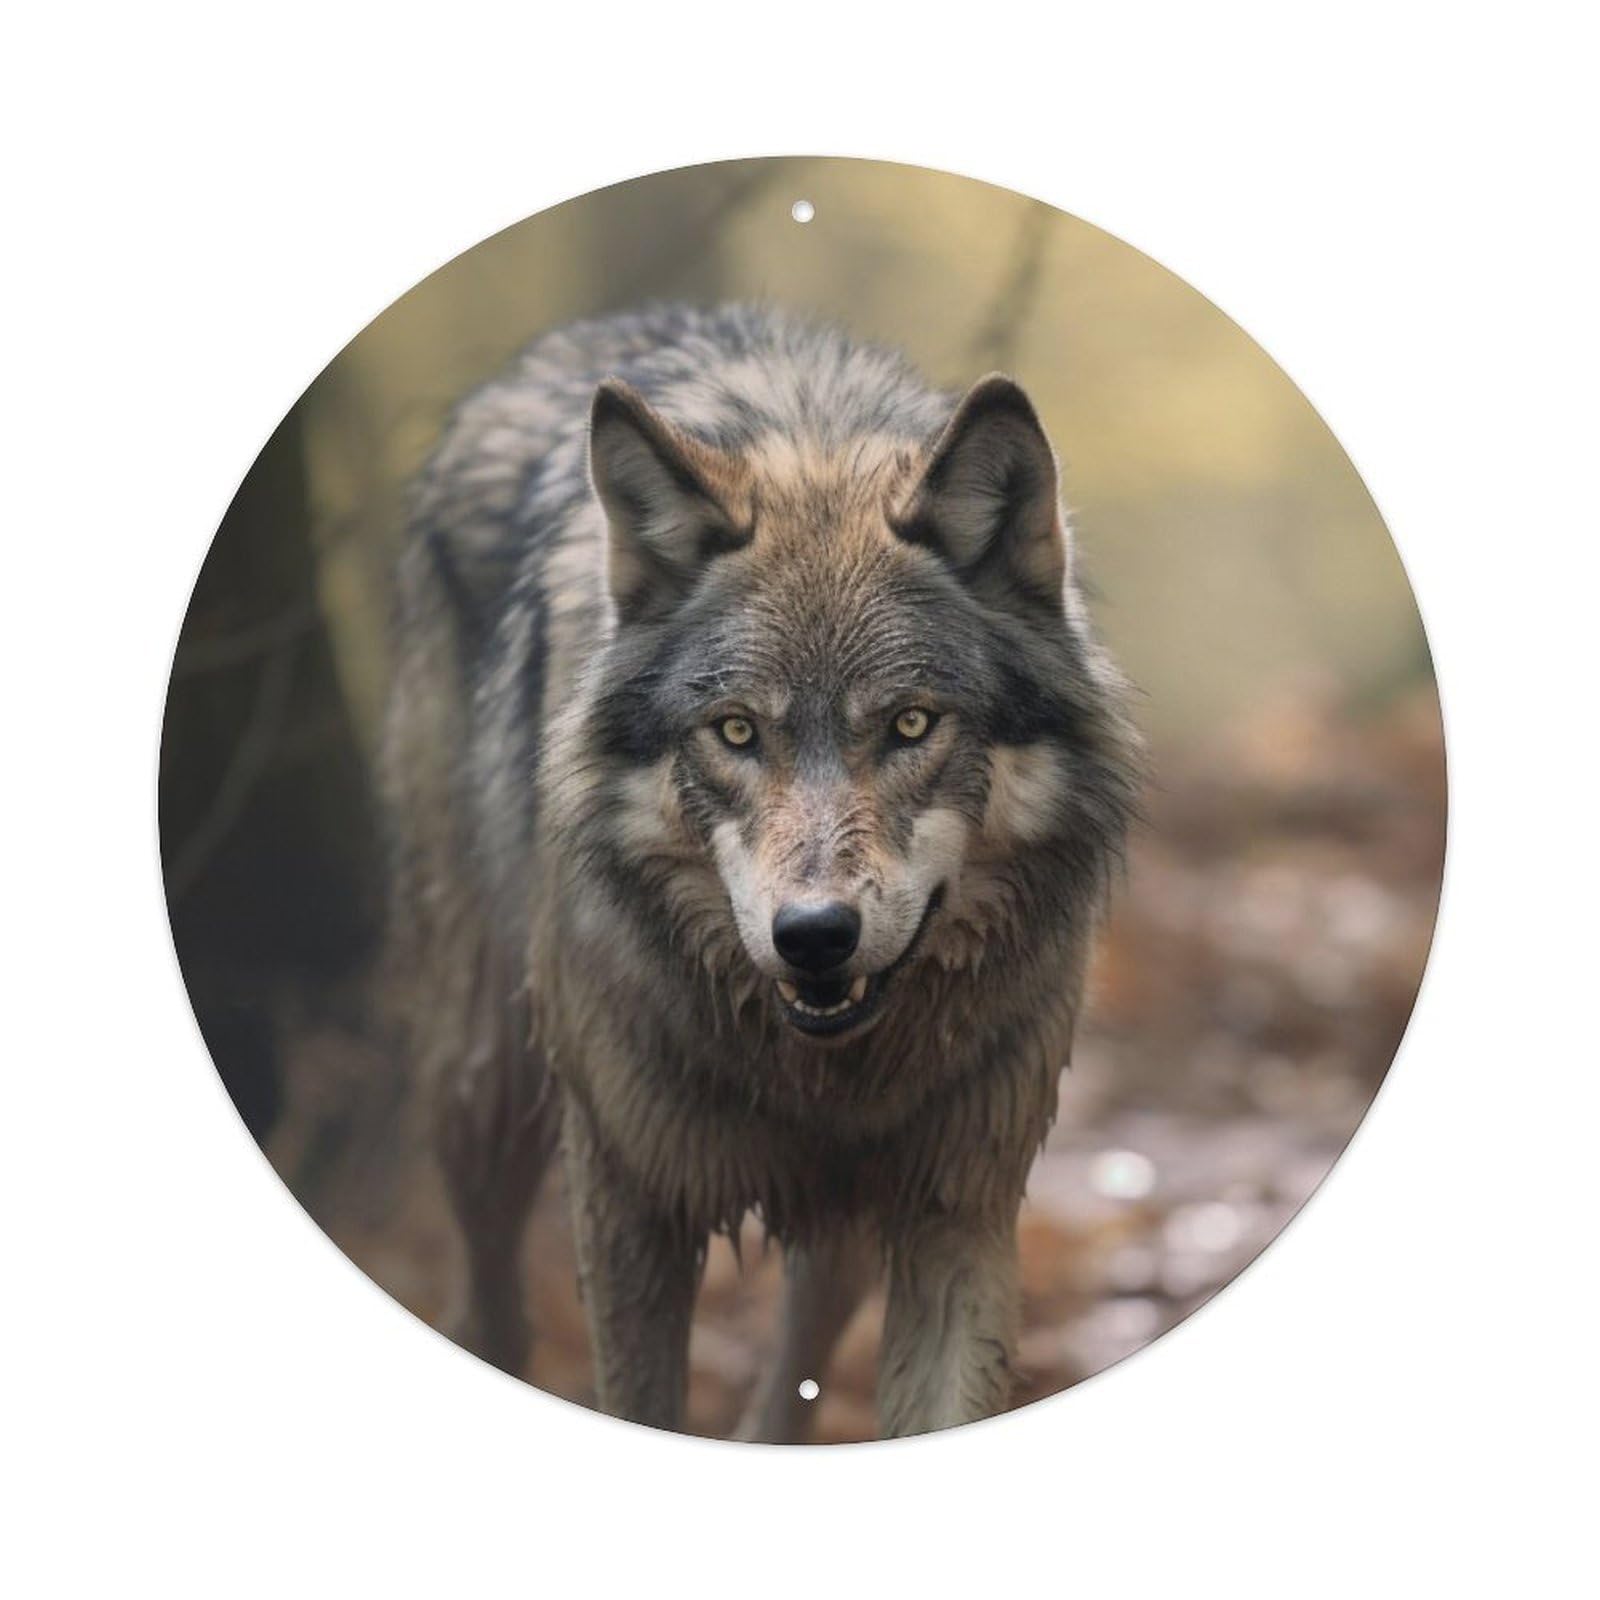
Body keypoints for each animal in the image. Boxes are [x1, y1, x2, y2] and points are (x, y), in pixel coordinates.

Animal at [380, 303, 1138, 1439]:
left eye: (911, 723)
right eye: (736, 731)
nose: (813, 934)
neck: (816, 1072)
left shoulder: (958, 1207)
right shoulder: (631, 1201)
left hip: (846, 1230)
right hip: (482, 1088)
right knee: (489, 1303)